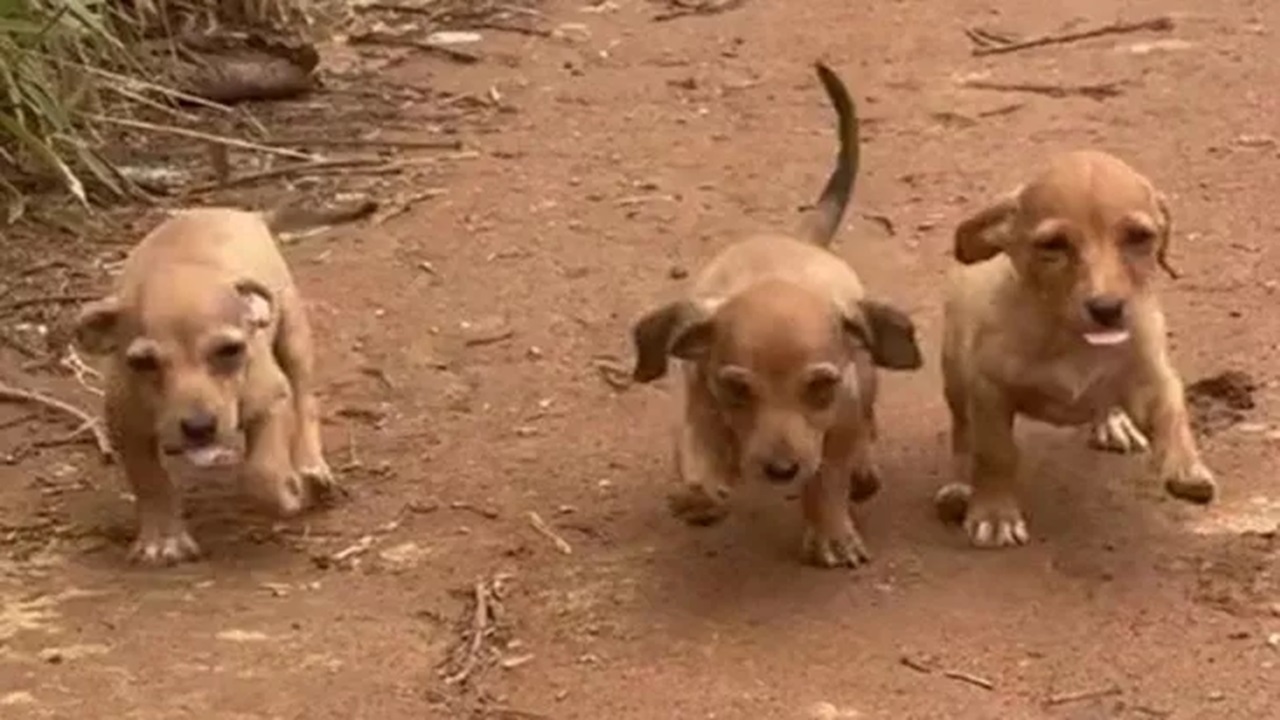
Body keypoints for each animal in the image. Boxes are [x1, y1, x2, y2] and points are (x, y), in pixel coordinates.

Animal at [74, 199, 373, 561]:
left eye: (230, 350)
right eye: (143, 362)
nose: (199, 427)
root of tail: (243, 213)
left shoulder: (272, 398)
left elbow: (263, 472)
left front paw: (289, 491)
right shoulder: (125, 422)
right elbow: (149, 479)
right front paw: (163, 539)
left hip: (293, 334)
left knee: (305, 401)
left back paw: (310, 465)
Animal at [627, 63, 921, 566]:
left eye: (820, 387)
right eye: (737, 389)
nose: (781, 470)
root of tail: (796, 238)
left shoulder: (838, 419)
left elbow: (827, 478)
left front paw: (831, 531)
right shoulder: (702, 400)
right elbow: (700, 457)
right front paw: (700, 496)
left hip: (865, 379)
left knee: (864, 429)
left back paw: (863, 472)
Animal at [936, 148, 1213, 545]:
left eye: (1139, 237)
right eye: (1052, 245)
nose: (1107, 309)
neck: (1075, 340)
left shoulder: (1154, 376)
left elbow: (1173, 416)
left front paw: (1187, 468)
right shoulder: (989, 389)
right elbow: (994, 453)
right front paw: (995, 514)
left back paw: (1113, 421)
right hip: (956, 375)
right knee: (962, 433)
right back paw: (959, 486)